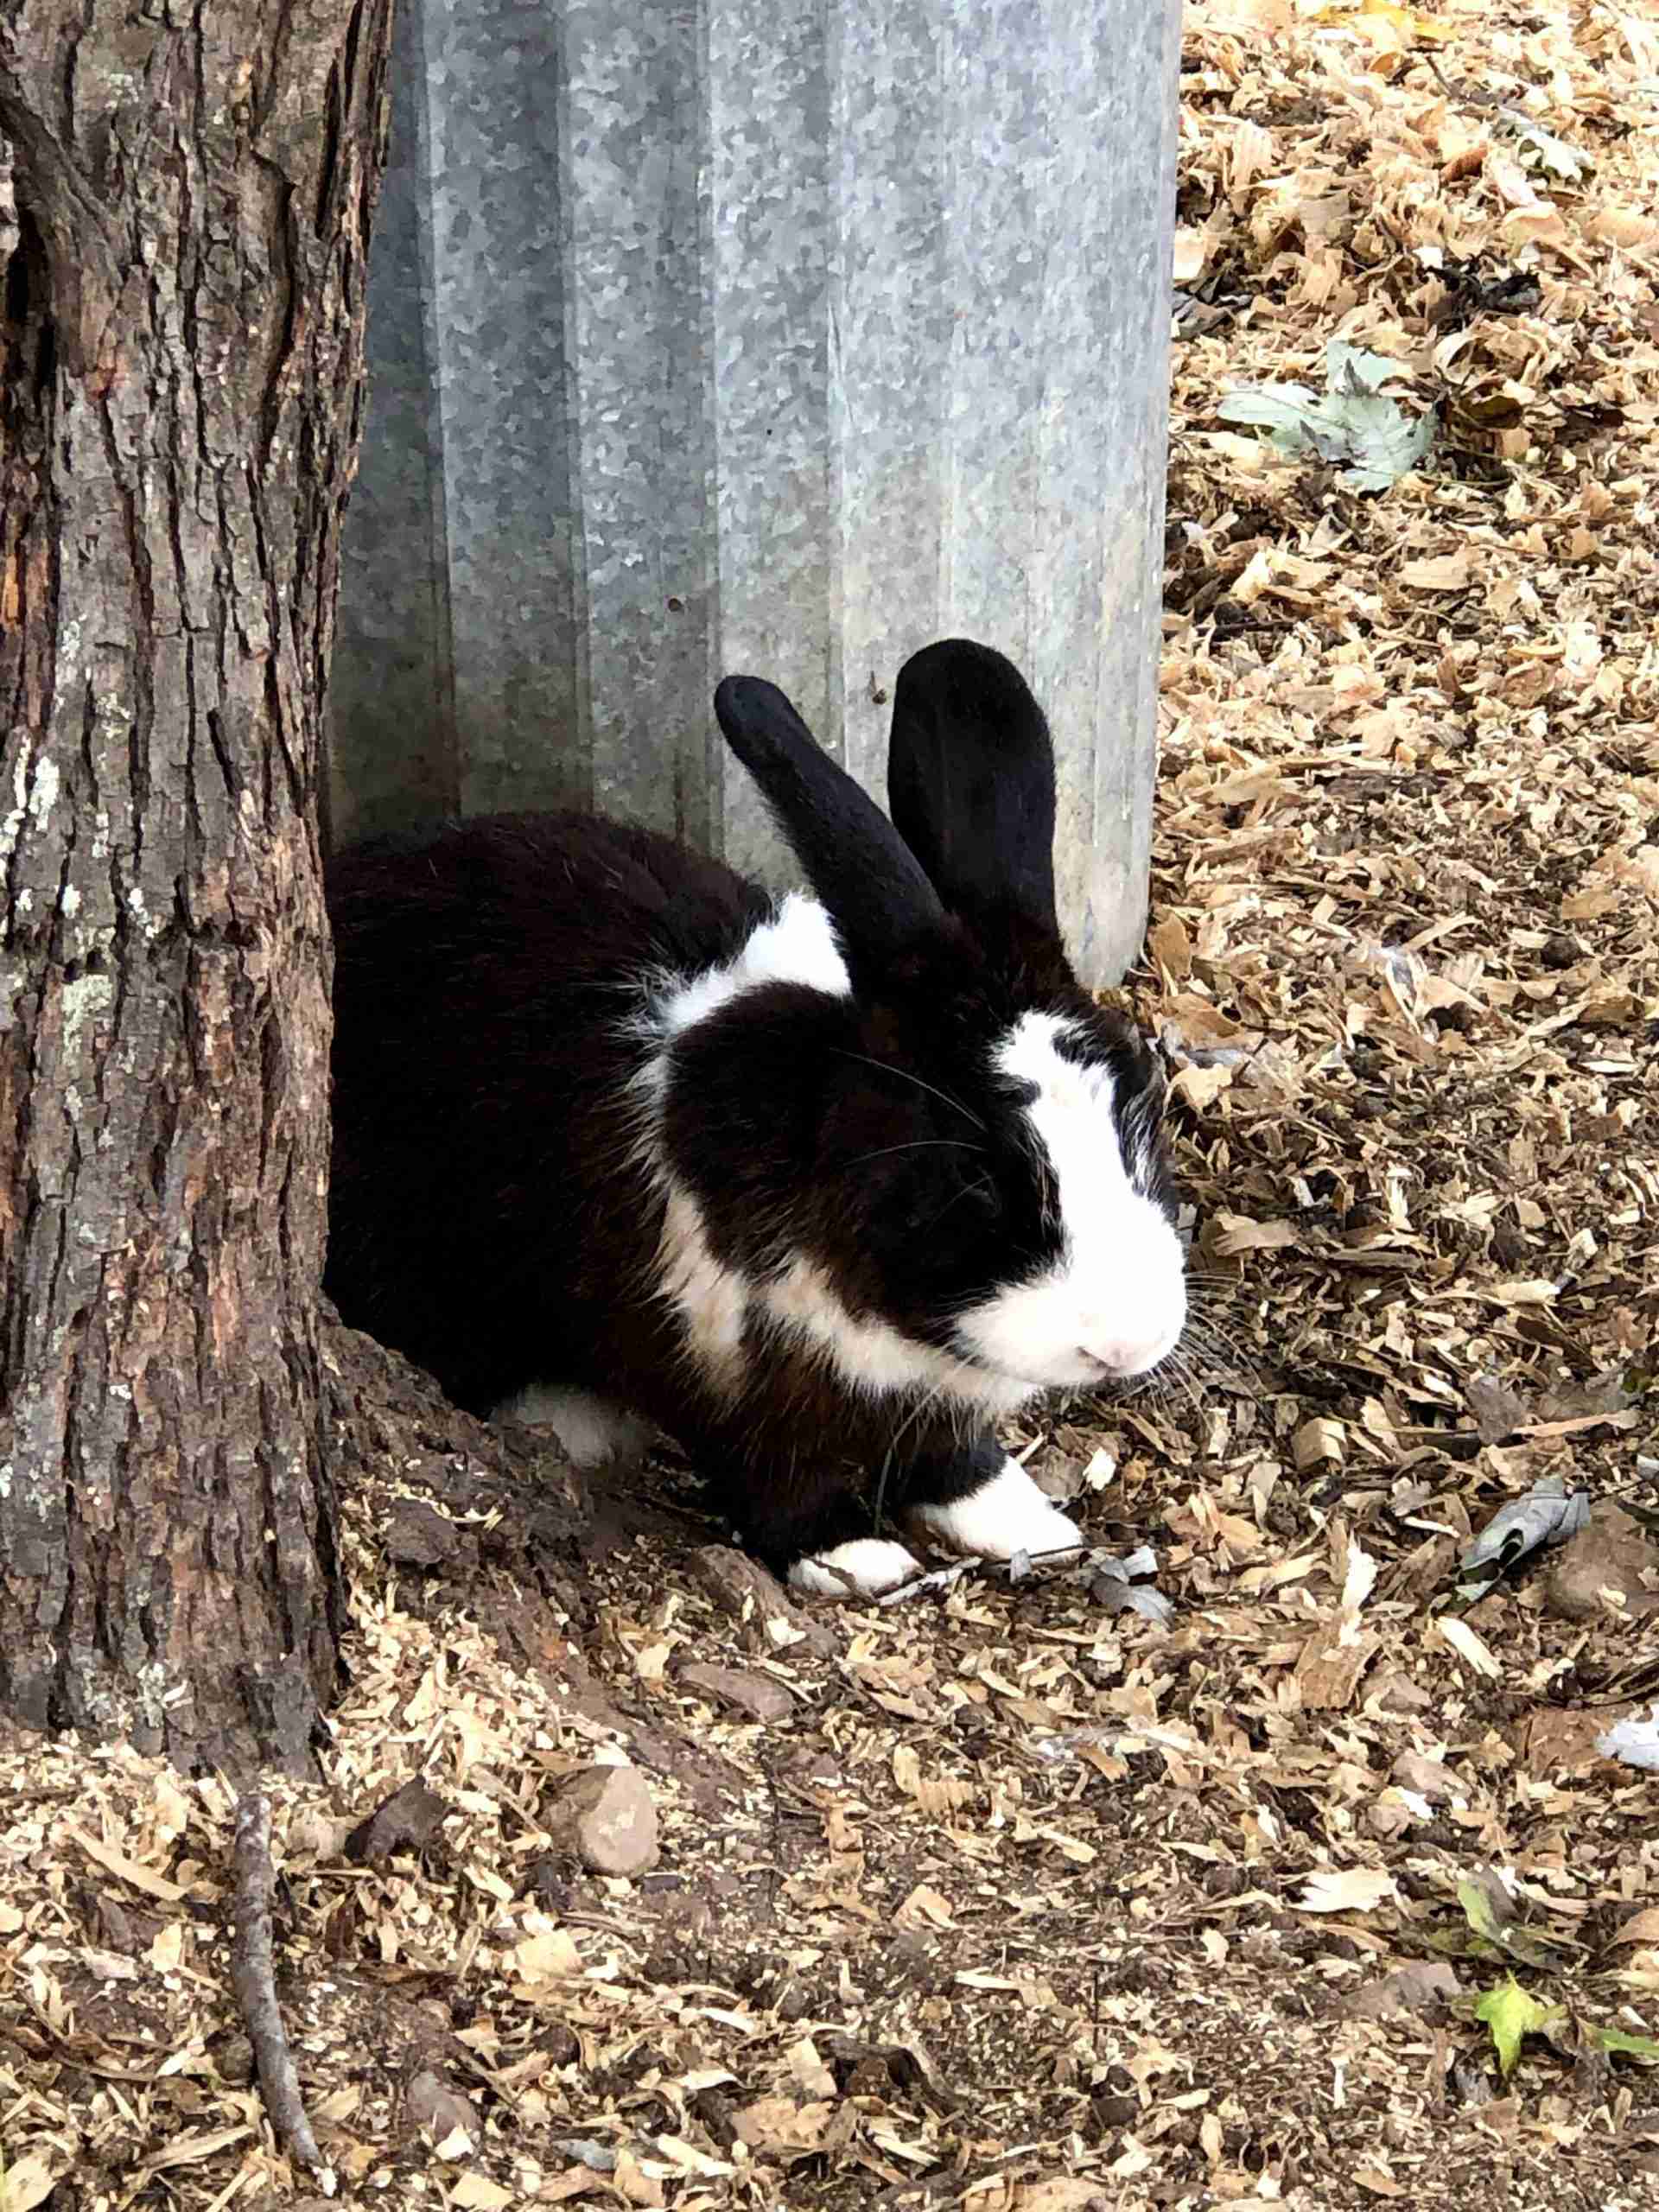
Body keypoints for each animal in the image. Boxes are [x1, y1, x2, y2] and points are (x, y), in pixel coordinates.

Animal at [324, 638, 1187, 1596]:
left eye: (1142, 1113)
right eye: (974, 1176)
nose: (1126, 1344)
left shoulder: (931, 1401)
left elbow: (950, 1458)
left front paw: (1023, 1520)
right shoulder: (717, 1367)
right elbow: (773, 1478)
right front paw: (855, 1558)